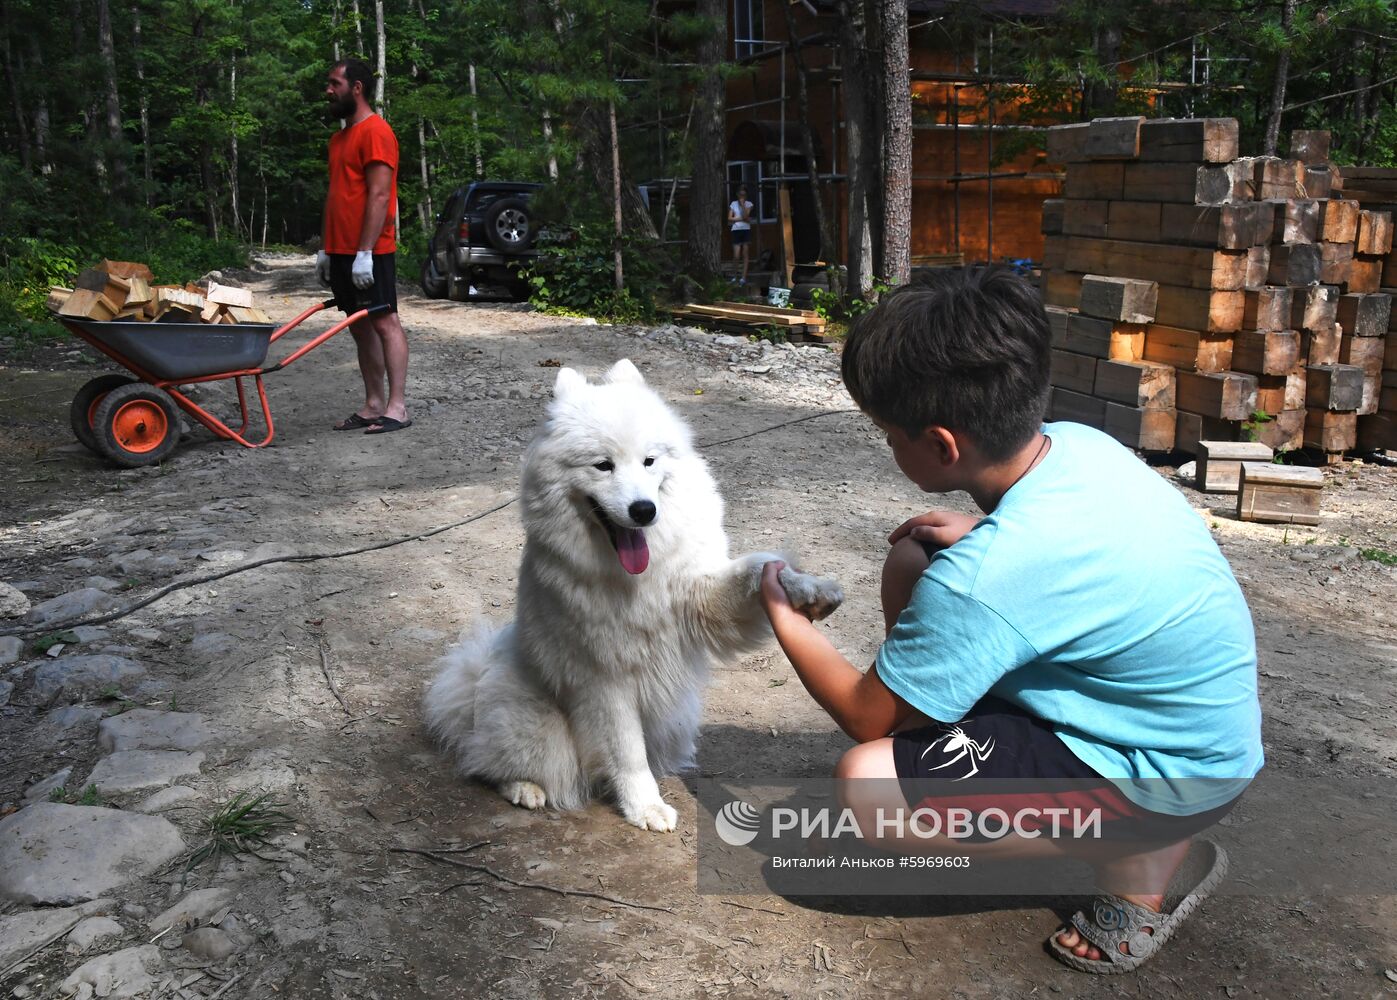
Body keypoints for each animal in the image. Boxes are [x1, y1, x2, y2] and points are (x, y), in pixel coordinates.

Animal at [421, 363, 838, 832]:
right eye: (603, 466)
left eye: (649, 461)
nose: (644, 510)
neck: (639, 576)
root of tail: (476, 674)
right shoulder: (606, 677)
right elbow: (627, 752)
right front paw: (645, 807)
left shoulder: (701, 598)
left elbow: (761, 567)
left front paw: (809, 589)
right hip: (538, 727)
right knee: (488, 761)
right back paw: (524, 788)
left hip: (677, 719)